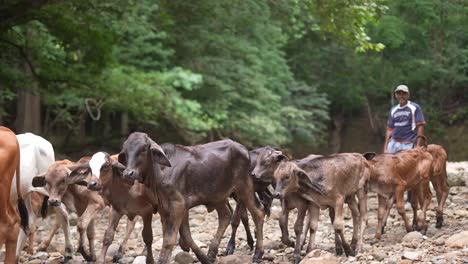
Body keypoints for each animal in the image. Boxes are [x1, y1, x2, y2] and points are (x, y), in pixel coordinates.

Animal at [119, 134, 266, 264]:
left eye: (144, 148)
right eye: (125, 151)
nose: (128, 173)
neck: (159, 172)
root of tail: (243, 148)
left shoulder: (178, 205)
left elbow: (169, 239)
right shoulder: (165, 208)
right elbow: (183, 236)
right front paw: (203, 258)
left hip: (244, 186)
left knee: (258, 212)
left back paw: (258, 254)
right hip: (217, 196)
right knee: (225, 215)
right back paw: (212, 253)